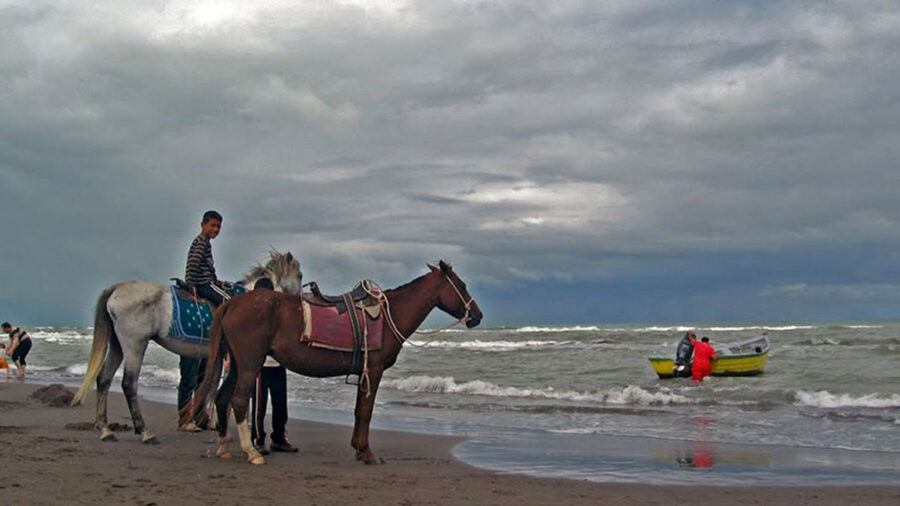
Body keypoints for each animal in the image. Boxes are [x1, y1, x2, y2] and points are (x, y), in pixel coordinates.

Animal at [71, 249, 302, 442]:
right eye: (299, 276)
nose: (300, 302)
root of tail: (116, 288)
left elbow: (212, 388)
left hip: (118, 345)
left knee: (104, 379)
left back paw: (105, 429)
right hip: (135, 344)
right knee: (128, 384)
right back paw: (145, 431)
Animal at [179, 262, 482, 464]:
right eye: (462, 286)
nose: (477, 316)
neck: (388, 315)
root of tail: (232, 303)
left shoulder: (364, 373)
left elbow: (360, 411)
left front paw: (359, 448)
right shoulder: (374, 370)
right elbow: (366, 412)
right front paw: (367, 452)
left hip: (237, 363)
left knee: (222, 398)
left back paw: (224, 447)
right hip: (251, 363)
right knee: (239, 400)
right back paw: (252, 452)